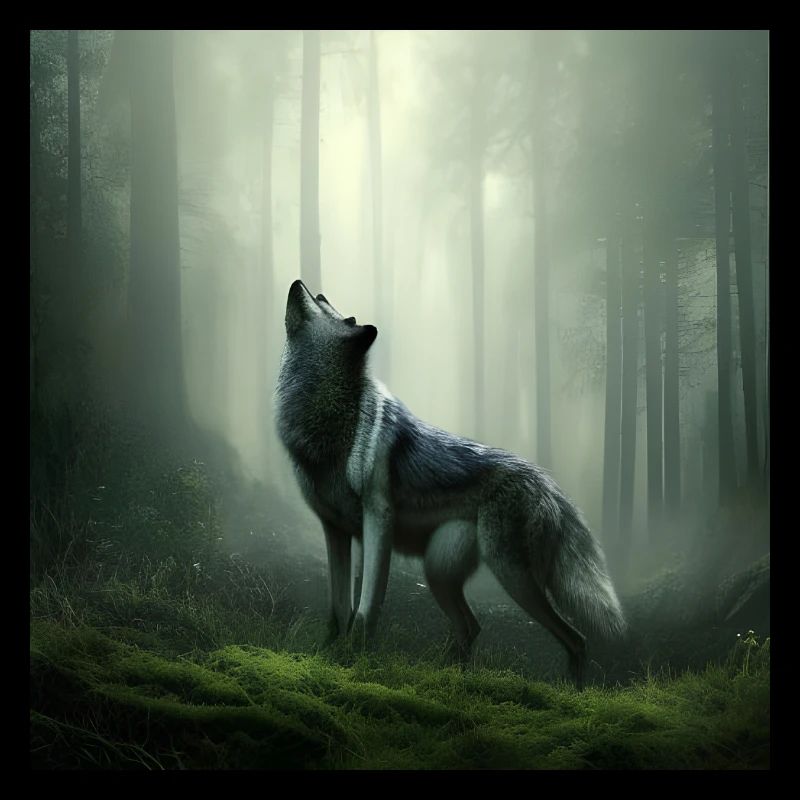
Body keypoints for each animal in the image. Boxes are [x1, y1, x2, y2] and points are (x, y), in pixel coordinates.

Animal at [276, 280, 626, 688]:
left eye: (328, 307)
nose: (300, 283)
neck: (328, 421)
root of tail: (548, 483)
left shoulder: (377, 520)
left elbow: (365, 610)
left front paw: (355, 662)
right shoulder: (334, 529)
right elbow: (337, 609)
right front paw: (327, 655)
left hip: (510, 575)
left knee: (576, 637)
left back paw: (574, 690)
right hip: (439, 573)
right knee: (472, 627)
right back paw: (449, 679)